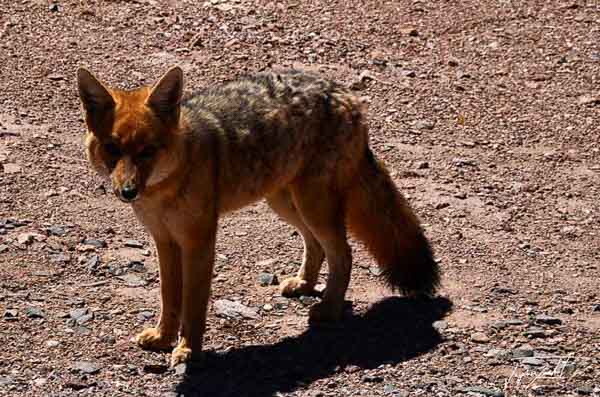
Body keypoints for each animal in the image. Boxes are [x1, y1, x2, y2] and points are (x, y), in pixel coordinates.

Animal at [76, 65, 440, 366]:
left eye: (147, 151)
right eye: (112, 149)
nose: (127, 191)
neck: (161, 193)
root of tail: (342, 91)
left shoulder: (198, 242)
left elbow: (193, 303)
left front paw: (188, 350)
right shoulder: (165, 241)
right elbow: (169, 297)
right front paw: (164, 337)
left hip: (313, 206)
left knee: (344, 253)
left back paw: (330, 307)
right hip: (285, 203)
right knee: (317, 246)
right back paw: (305, 284)